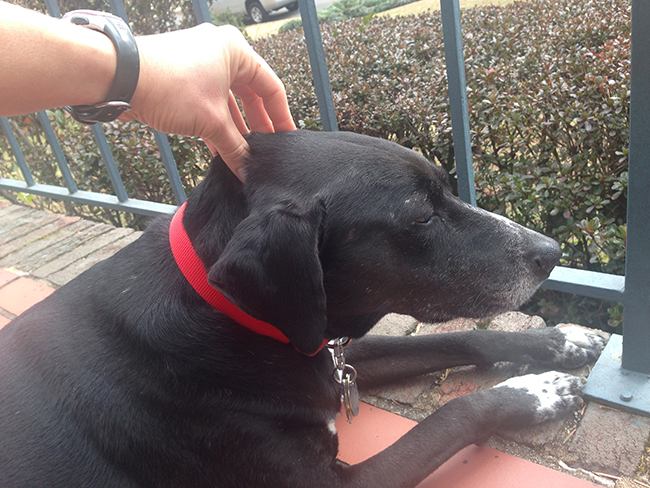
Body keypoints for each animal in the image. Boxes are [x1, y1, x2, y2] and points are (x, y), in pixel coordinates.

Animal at [1, 131, 604, 488]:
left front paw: (559, 342)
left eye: (447, 189)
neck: (226, 318)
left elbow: (459, 338)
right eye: (419, 217)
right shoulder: (338, 481)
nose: (552, 252)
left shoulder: (323, 357)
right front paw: (535, 392)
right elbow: (454, 414)